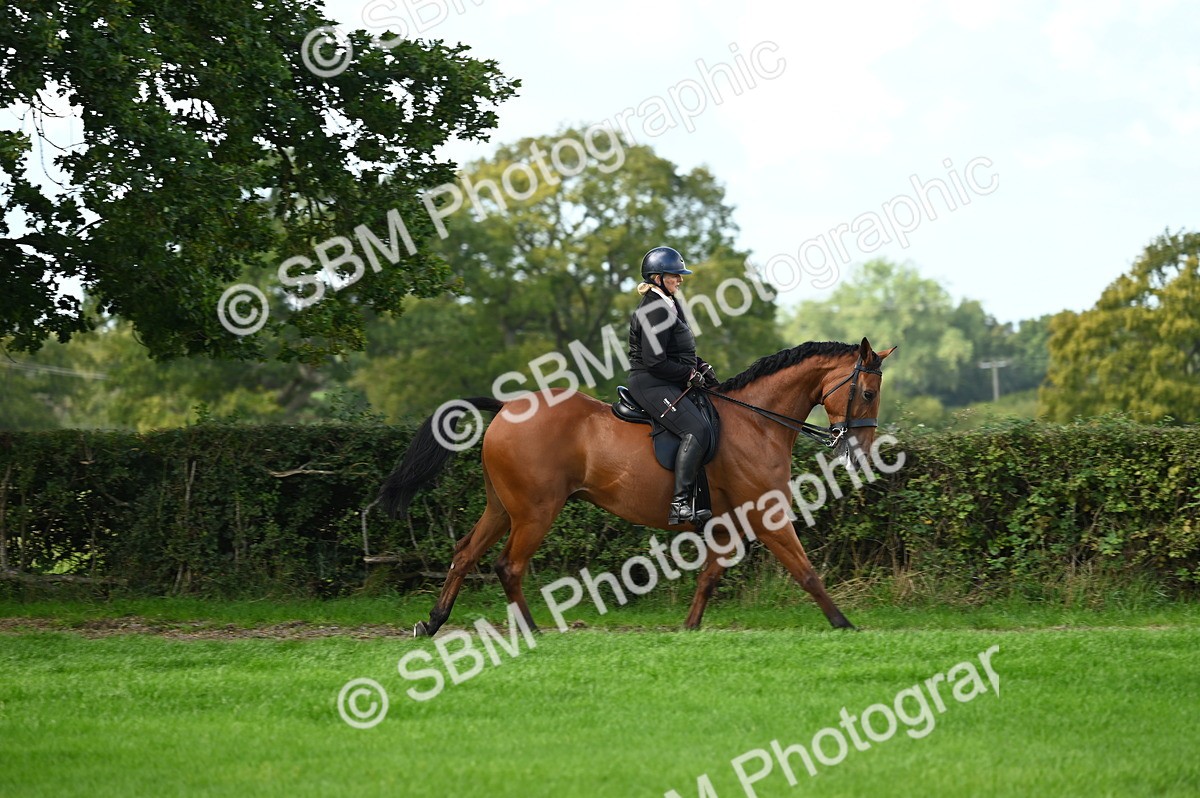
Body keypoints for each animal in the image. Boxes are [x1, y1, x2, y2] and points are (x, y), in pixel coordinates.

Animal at [379, 337, 896, 635]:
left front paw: (689, 627)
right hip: (535, 512)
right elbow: (806, 571)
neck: (758, 421)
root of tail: (508, 407)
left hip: (502, 507)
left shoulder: (730, 521)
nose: (862, 453)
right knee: (509, 566)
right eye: (868, 392)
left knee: (465, 553)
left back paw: (433, 622)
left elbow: (710, 576)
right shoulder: (765, 515)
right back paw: (532, 631)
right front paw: (844, 623)